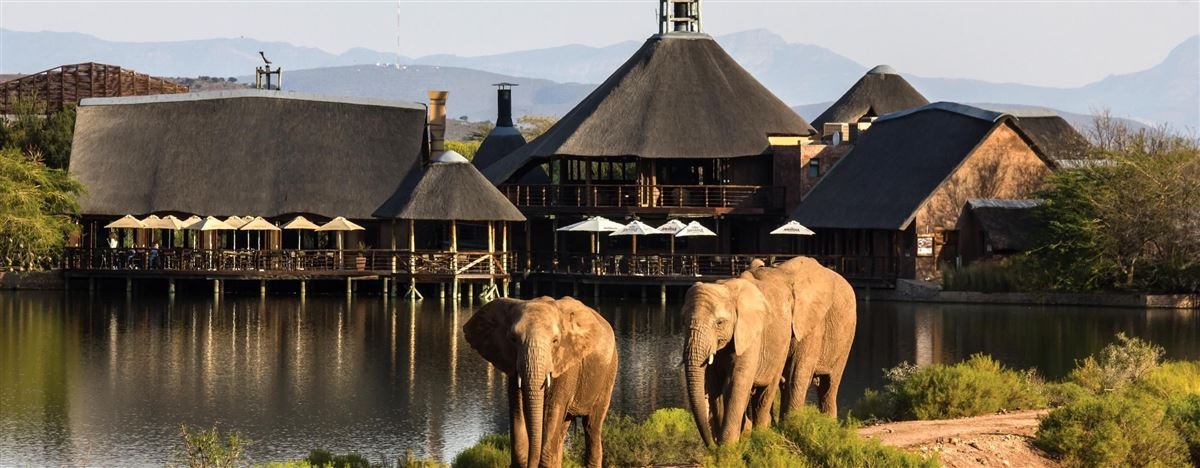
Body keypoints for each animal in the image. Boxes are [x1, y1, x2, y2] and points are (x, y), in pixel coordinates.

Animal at [463, 296, 618, 468]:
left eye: (555, 341)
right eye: (513, 339)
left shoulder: (566, 364)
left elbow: (552, 411)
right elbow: (517, 409)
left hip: (609, 371)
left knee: (592, 426)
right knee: (563, 429)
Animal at [682, 276, 794, 446]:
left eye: (719, 323)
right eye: (683, 322)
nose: (711, 444)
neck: (725, 288)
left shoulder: (749, 336)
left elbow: (736, 382)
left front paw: (727, 446)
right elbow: (715, 385)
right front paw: (722, 445)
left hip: (783, 346)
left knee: (766, 393)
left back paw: (760, 435)